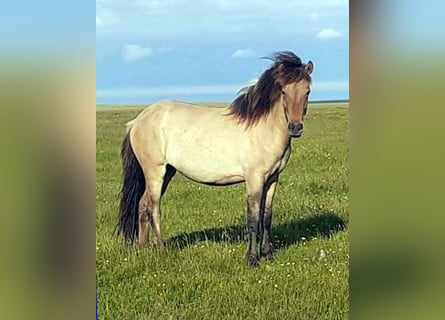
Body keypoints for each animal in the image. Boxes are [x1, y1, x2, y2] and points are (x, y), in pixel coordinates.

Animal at [118, 51, 312, 268]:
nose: (295, 128)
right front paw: (252, 259)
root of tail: (137, 121)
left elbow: (267, 216)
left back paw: (143, 248)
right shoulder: (254, 179)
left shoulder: (272, 179)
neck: (263, 129)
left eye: (307, 91)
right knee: (153, 207)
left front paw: (267, 254)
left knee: (142, 204)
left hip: (167, 171)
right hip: (155, 172)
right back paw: (161, 249)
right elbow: (253, 218)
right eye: (284, 92)